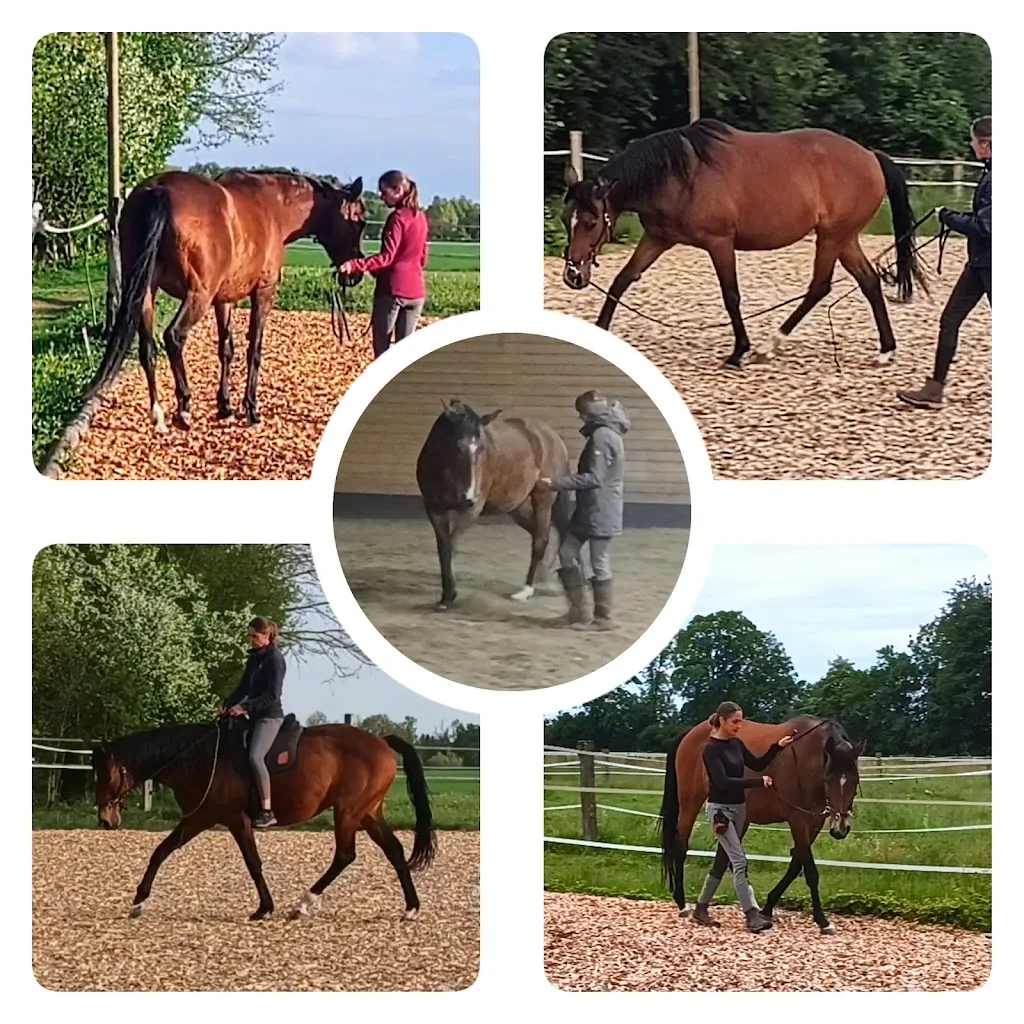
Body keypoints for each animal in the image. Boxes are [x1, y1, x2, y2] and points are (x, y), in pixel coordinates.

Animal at [86, 169, 367, 430]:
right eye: (359, 221)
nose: (355, 274)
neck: (273, 207)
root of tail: (159, 190)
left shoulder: (224, 300)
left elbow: (226, 348)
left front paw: (225, 406)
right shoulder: (263, 292)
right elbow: (255, 349)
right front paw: (251, 409)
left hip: (145, 293)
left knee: (148, 349)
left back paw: (158, 415)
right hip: (197, 295)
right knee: (174, 336)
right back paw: (184, 408)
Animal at [91, 716, 435, 922]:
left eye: (106, 775)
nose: (105, 820)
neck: (198, 758)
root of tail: (381, 741)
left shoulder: (234, 819)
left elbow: (252, 862)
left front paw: (264, 908)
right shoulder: (199, 817)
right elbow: (160, 851)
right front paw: (139, 901)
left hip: (348, 812)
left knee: (345, 855)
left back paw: (304, 903)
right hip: (367, 812)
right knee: (394, 851)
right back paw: (411, 908)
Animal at [415, 399, 574, 610]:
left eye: (483, 448)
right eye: (457, 446)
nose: (470, 496)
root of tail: (551, 436)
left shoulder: (471, 510)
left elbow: (452, 545)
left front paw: (450, 594)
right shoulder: (434, 509)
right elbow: (444, 548)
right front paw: (446, 596)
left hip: (544, 498)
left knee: (541, 538)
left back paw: (527, 590)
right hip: (517, 506)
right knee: (538, 533)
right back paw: (544, 576)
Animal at [561, 119, 927, 370]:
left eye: (591, 222)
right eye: (567, 219)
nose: (573, 275)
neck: (683, 175)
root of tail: (870, 156)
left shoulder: (720, 243)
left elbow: (731, 296)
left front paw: (739, 351)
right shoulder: (658, 238)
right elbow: (622, 280)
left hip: (832, 236)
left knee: (820, 286)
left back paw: (769, 346)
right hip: (844, 238)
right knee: (868, 282)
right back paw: (886, 351)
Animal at [658, 715, 864, 934]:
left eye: (854, 780)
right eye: (828, 778)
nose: (840, 829)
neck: (807, 758)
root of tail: (690, 733)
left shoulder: (814, 822)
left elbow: (795, 864)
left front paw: (767, 908)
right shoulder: (798, 821)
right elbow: (810, 871)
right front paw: (823, 921)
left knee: (724, 859)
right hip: (690, 803)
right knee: (681, 847)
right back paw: (682, 904)